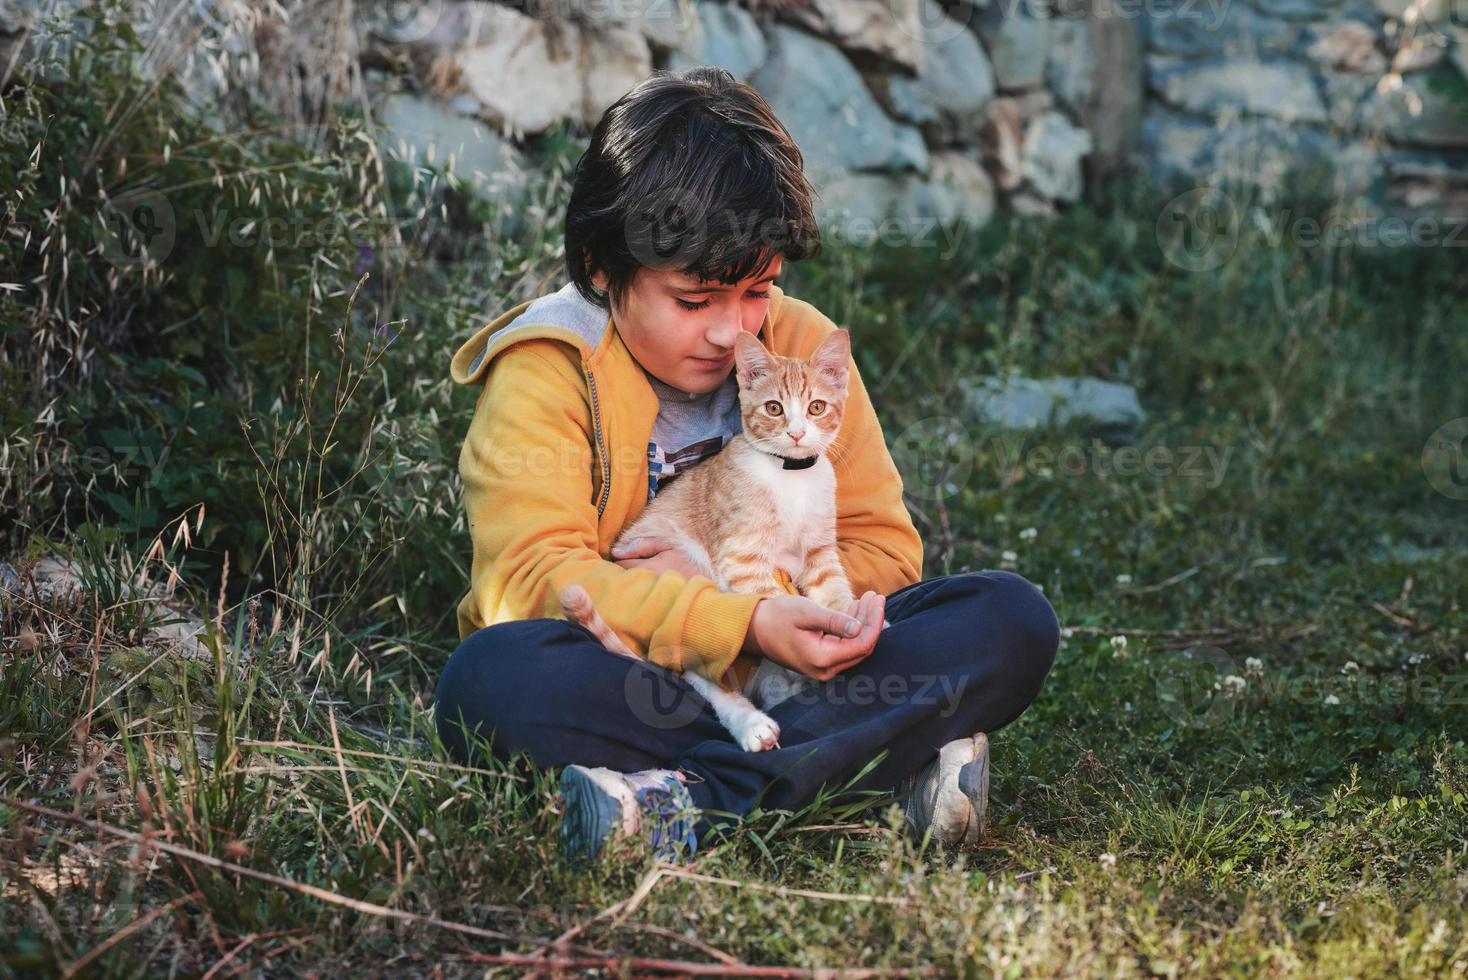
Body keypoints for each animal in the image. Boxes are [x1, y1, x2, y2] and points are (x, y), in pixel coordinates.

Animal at [560, 327, 857, 751]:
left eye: (816, 407)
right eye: (774, 408)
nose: (797, 433)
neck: (791, 476)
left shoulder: (819, 553)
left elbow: (834, 592)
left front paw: (853, 623)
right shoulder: (742, 558)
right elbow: (779, 603)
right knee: (701, 667)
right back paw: (751, 723)